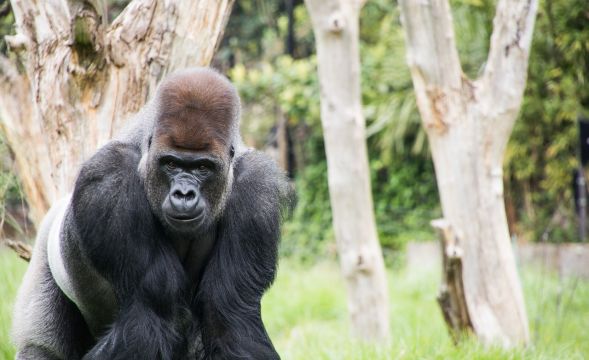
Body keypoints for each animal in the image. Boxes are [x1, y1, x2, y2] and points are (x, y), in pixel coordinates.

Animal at [10, 68, 290, 360]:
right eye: (171, 164)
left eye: (203, 167)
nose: (184, 194)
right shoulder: (110, 178)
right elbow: (149, 312)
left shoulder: (257, 192)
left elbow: (231, 314)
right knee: (41, 346)